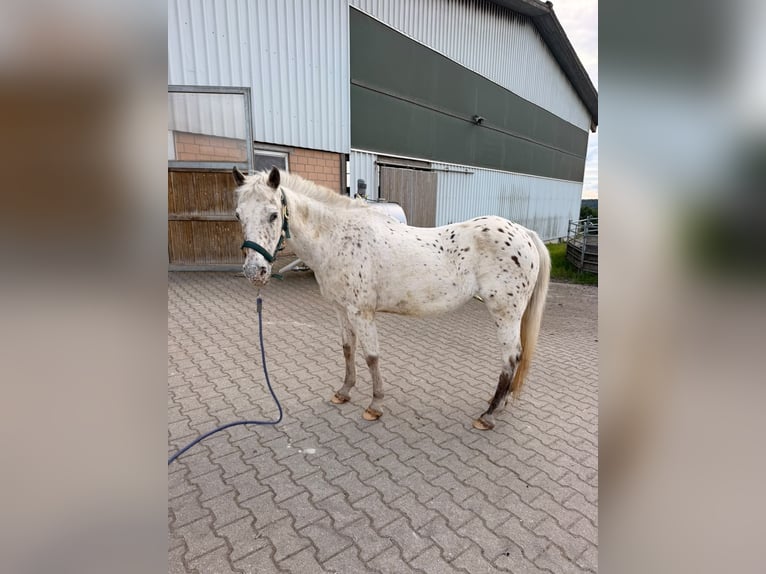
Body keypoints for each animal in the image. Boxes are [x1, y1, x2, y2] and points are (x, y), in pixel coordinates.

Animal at [233, 167, 550, 430]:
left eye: (273, 214)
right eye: (238, 215)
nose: (254, 272)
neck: (339, 237)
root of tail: (524, 232)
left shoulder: (361, 312)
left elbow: (371, 356)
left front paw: (375, 406)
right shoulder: (341, 309)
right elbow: (347, 350)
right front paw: (343, 392)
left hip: (505, 313)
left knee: (511, 357)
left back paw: (488, 415)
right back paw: (501, 404)